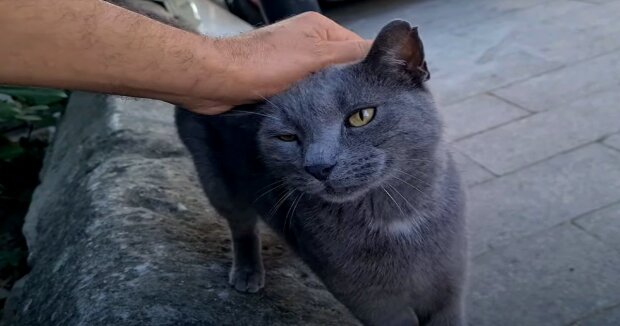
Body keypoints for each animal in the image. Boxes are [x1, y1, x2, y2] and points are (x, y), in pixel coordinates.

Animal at [174, 21, 464, 326]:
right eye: (287, 137)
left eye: (361, 116)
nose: (319, 166)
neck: (395, 216)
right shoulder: (370, 300)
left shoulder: (449, 287)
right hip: (216, 180)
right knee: (241, 225)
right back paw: (247, 272)